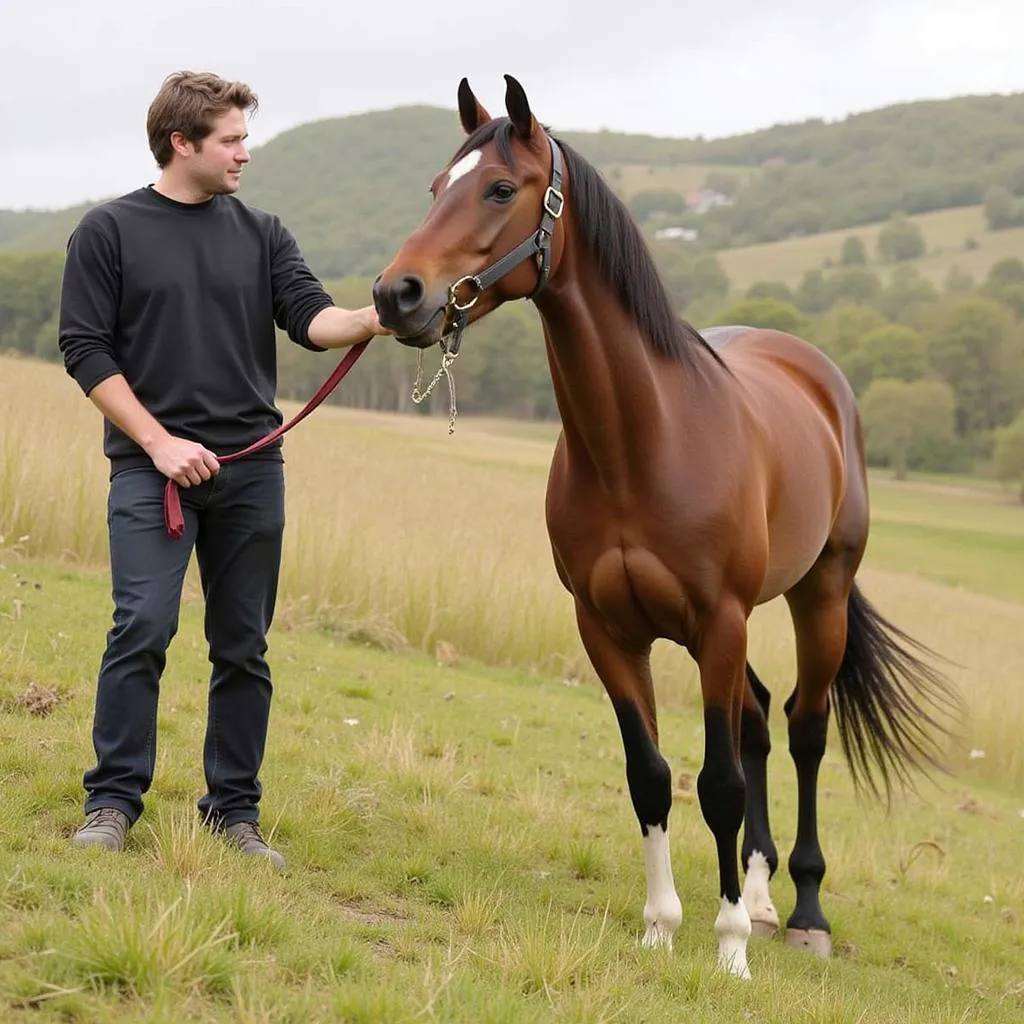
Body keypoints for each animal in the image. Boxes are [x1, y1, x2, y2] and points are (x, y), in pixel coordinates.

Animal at [368, 75, 958, 978]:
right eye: (438, 187)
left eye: (499, 189)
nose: (396, 295)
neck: (641, 445)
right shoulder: (608, 629)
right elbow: (650, 774)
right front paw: (662, 925)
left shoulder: (717, 622)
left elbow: (719, 783)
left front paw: (728, 948)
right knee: (757, 722)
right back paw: (759, 895)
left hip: (817, 596)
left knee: (802, 730)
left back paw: (803, 912)